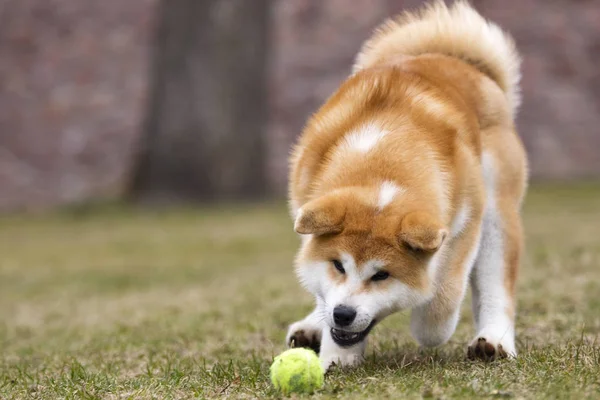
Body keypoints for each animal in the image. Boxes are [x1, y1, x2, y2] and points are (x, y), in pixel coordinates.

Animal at [286, 0, 524, 370]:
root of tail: (457, 61)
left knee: (496, 285)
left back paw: (494, 341)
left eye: (381, 275)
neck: (383, 162)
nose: (343, 314)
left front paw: (430, 325)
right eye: (338, 265)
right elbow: (320, 287)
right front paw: (338, 356)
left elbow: (442, 294)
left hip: (497, 215)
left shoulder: (465, 223)